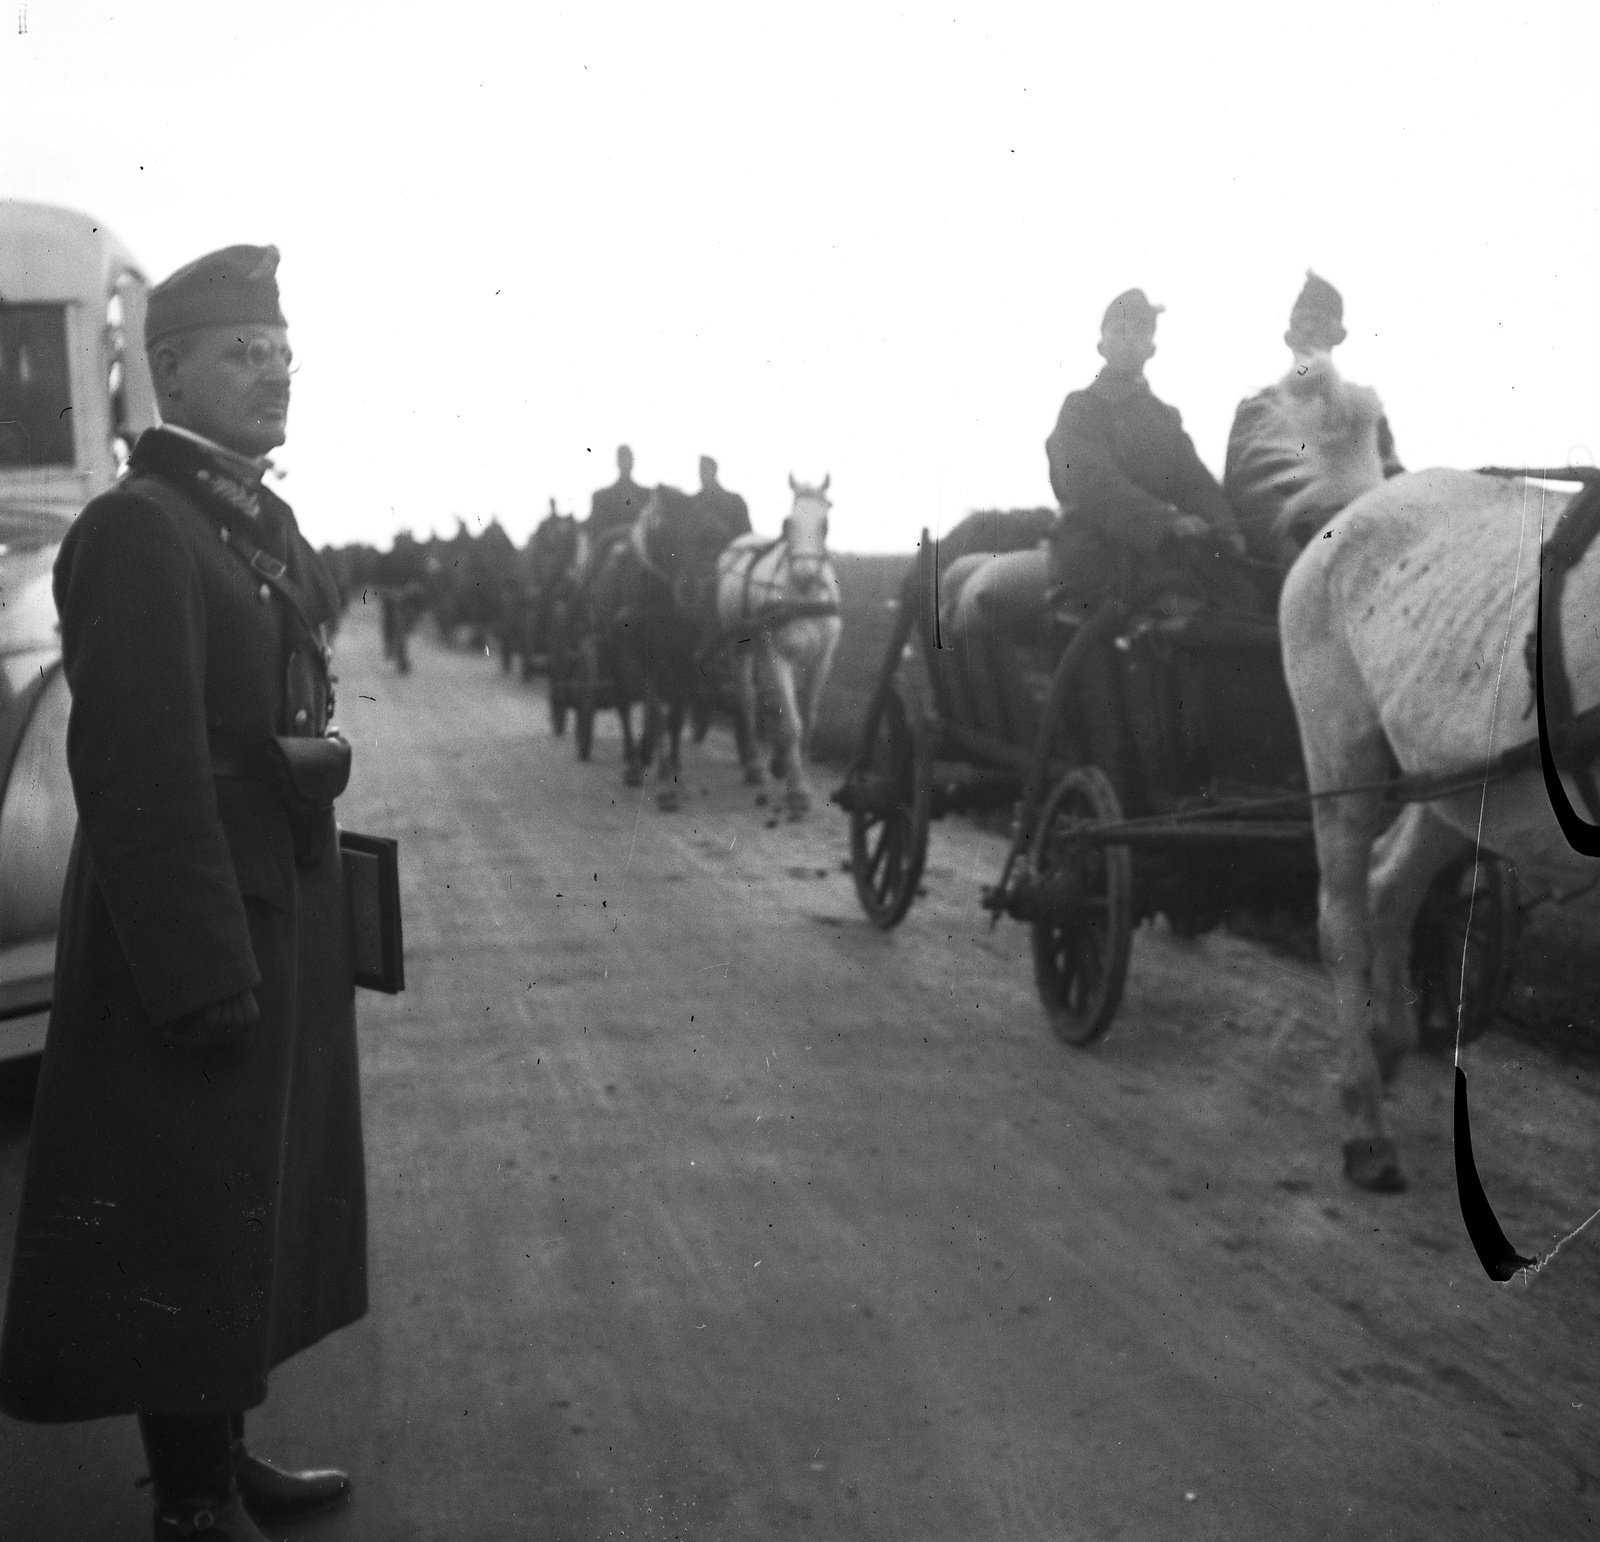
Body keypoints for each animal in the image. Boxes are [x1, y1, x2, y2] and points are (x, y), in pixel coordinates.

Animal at [588, 489, 726, 812]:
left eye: (707, 533)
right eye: (663, 532)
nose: (690, 590)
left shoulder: (688, 660)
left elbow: (675, 716)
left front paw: (675, 771)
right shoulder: (643, 659)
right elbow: (656, 713)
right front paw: (664, 782)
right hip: (613, 650)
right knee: (624, 704)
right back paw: (634, 761)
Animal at [716, 476, 844, 818]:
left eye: (825, 524)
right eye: (788, 523)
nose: (804, 574)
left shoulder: (821, 658)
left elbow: (807, 714)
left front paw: (788, 765)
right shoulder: (778, 655)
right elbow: (793, 720)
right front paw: (797, 789)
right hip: (742, 648)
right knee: (747, 697)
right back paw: (754, 764)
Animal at [1273, 470, 1600, 1190]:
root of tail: (1363, 501)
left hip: (1459, 784)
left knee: (1393, 889)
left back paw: (1387, 1045)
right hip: (1342, 759)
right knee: (1344, 921)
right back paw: (1365, 1119)